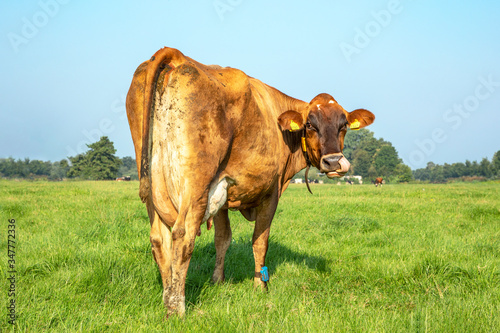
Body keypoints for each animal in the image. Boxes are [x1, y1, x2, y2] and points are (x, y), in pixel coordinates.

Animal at [125, 47, 376, 316]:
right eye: (310, 124)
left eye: (344, 125)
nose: (333, 162)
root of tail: (176, 55)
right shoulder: (270, 193)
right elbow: (260, 241)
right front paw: (260, 286)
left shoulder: (222, 194)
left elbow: (223, 239)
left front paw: (218, 280)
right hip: (195, 187)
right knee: (182, 236)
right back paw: (176, 308)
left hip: (153, 186)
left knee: (158, 239)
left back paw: (167, 295)